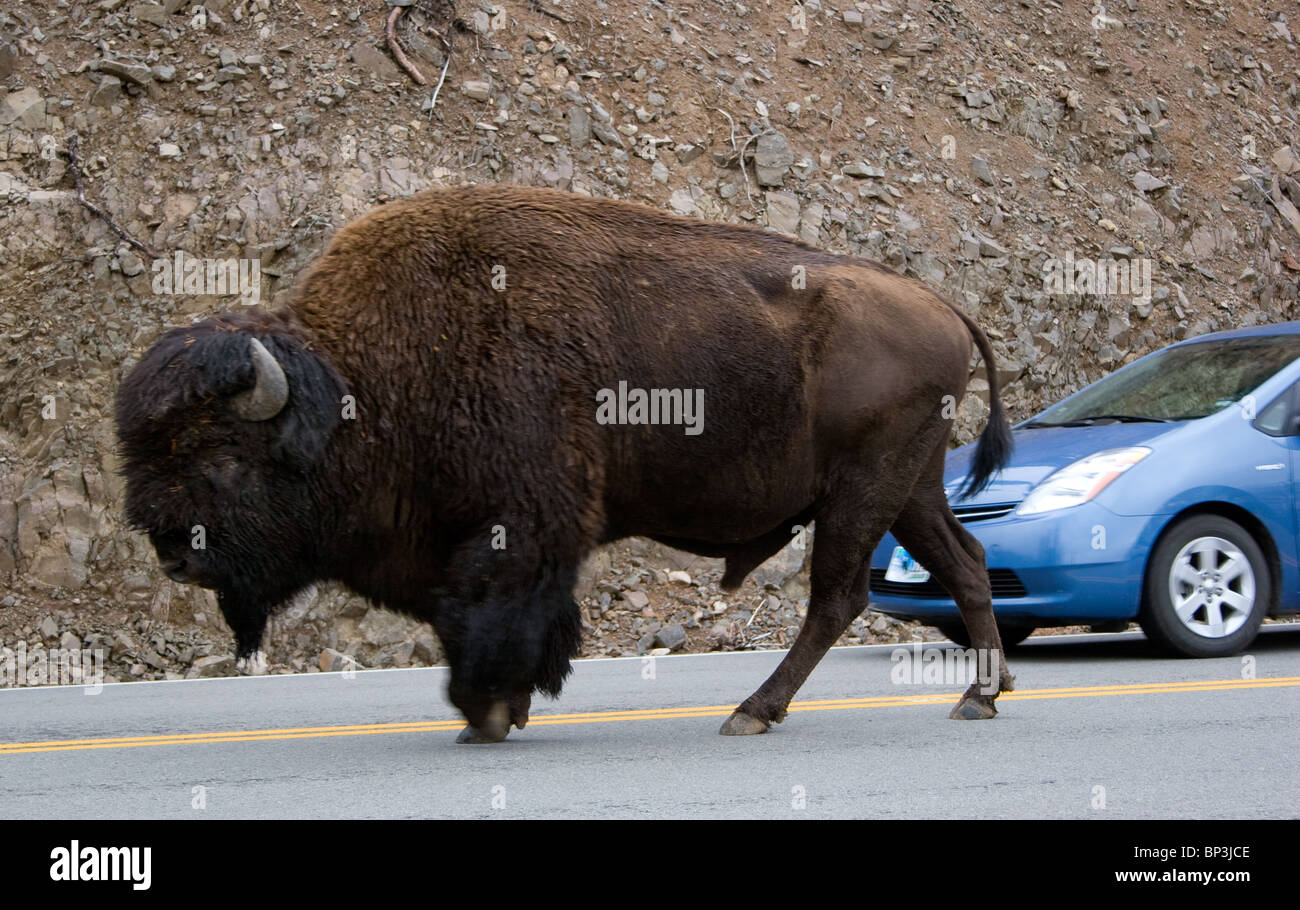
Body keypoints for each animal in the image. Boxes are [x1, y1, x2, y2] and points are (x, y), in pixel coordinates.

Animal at [116, 183, 1014, 742]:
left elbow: (494, 614)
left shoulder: (522, 528)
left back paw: (753, 711)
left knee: (838, 596)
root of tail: (943, 306)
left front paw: (486, 714)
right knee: (964, 562)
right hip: (911, 488)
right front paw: (502, 711)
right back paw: (981, 695)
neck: (361, 383)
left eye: (224, 460)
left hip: (865, 489)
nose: (173, 555)